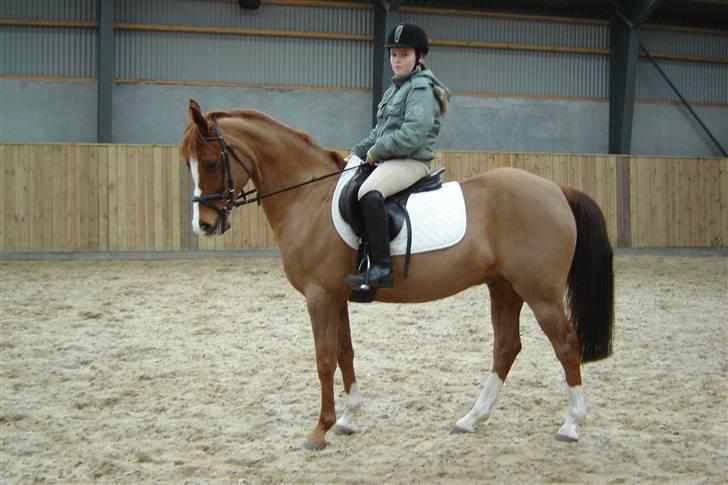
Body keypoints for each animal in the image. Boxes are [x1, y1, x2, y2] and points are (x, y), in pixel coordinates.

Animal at [180, 99, 614, 450]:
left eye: (212, 162)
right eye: (189, 164)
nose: (204, 225)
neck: (310, 199)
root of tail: (557, 189)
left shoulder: (320, 297)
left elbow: (324, 360)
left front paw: (319, 430)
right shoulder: (337, 297)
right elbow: (345, 353)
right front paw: (348, 418)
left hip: (540, 293)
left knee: (566, 346)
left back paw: (570, 425)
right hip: (504, 287)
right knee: (506, 347)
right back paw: (471, 419)